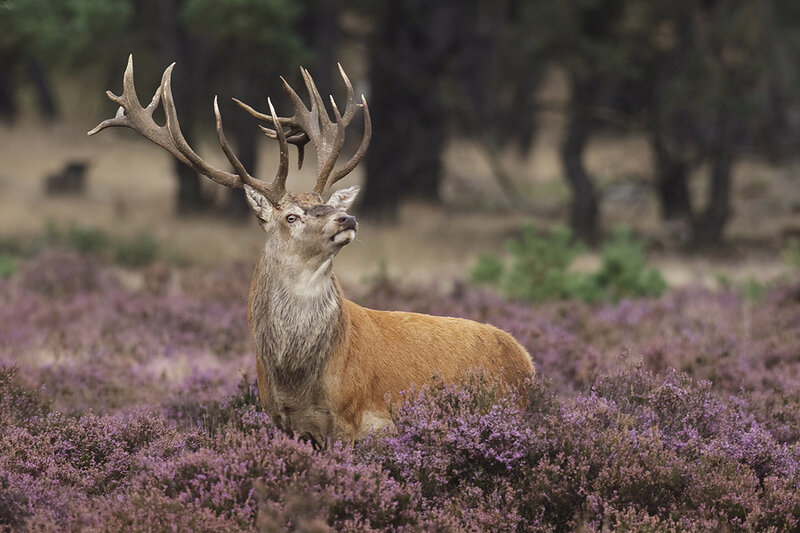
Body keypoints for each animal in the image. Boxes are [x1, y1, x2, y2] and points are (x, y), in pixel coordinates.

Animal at [89, 55, 534, 444]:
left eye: (327, 205)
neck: (298, 380)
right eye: (291, 216)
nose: (347, 219)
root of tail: (527, 361)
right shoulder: (285, 422)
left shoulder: (355, 419)